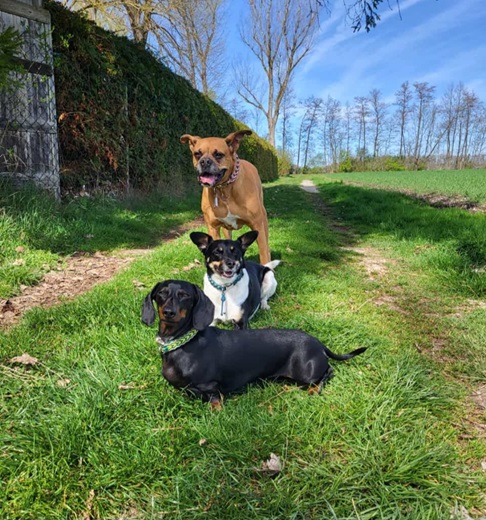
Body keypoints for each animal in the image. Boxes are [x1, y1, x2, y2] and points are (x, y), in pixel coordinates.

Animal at [141, 279, 367, 408]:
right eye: (161, 294)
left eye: (185, 296)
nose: (169, 312)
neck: (181, 341)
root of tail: (318, 342)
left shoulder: (211, 387)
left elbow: (215, 403)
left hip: (307, 373)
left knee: (328, 372)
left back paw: (314, 390)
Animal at [180, 130, 271, 265]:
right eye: (197, 154)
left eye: (218, 154)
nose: (204, 161)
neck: (224, 189)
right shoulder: (213, 228)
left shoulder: (257, 226)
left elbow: (264, 254)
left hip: (263, 221)